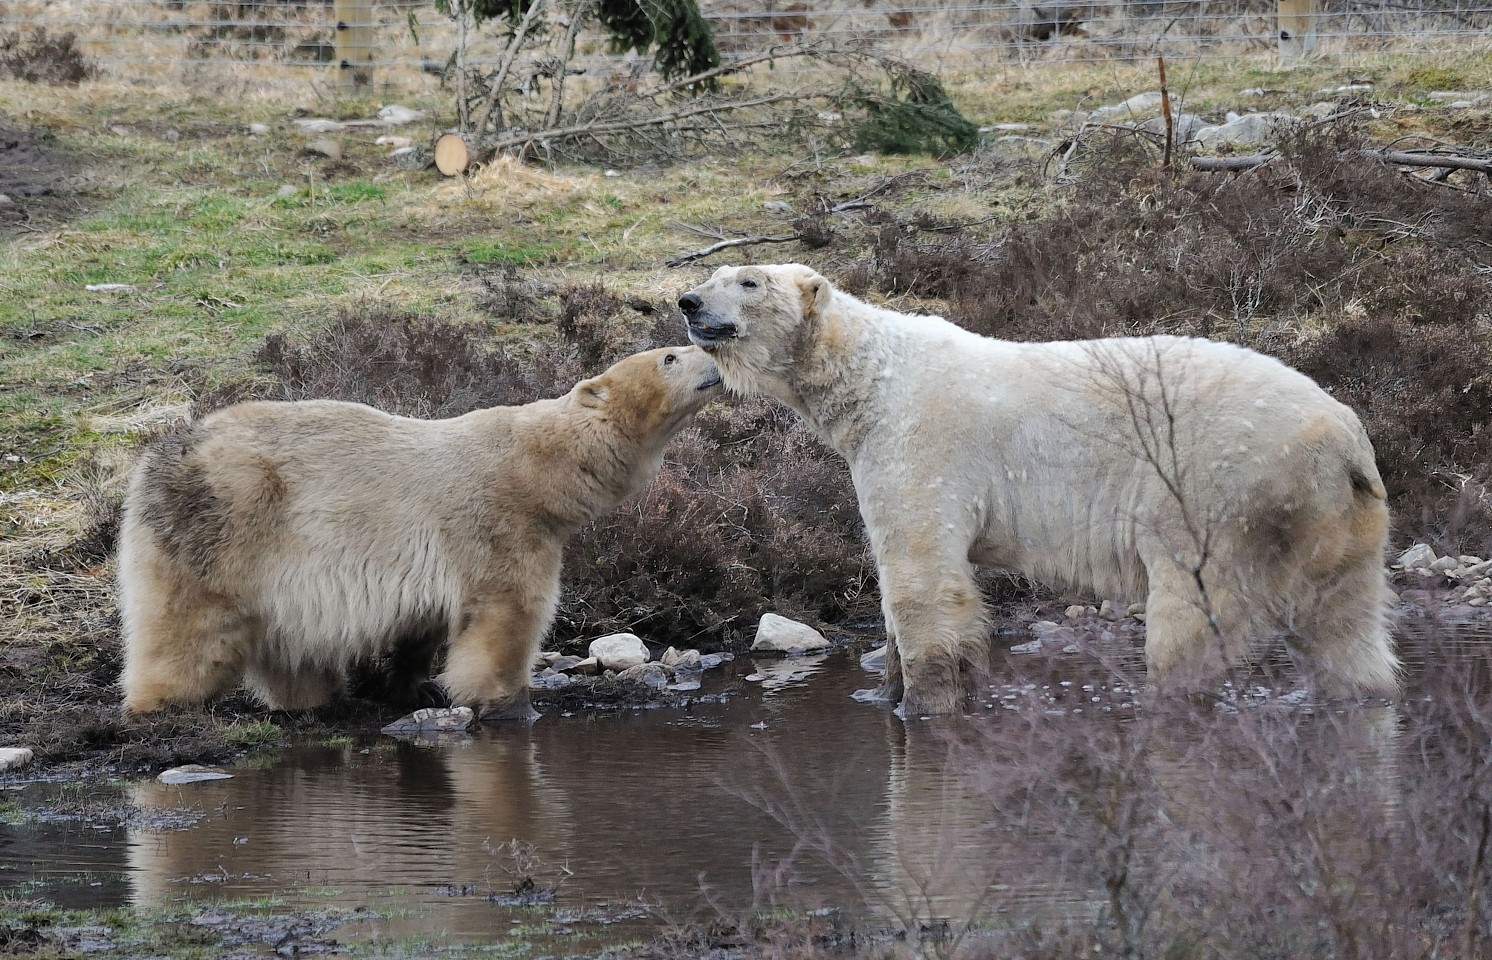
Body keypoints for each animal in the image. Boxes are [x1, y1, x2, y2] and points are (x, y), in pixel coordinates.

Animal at [117, 344, 722, 722]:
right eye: (669, 356)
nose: (713, 356)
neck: (537, 466)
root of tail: (159, 454)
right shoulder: (496, 523)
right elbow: (506, 615)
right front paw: (510, 703)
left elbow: (423, 624)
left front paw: (417, 684)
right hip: (224, 523)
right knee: (188, 625)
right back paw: (162, 705)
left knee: (293, 644)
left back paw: (314, 698)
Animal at [680, 262, 1396, 713]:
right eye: (712, 277)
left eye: (748, 281)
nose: (687, 302)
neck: (872, 376)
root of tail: (1343, 437)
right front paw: (887, 691)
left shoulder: (922, 442)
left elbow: (922, 574)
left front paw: (925, 703)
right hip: (1341, 517)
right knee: (1347, 625)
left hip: (1223, 491)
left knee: (1191, 617)